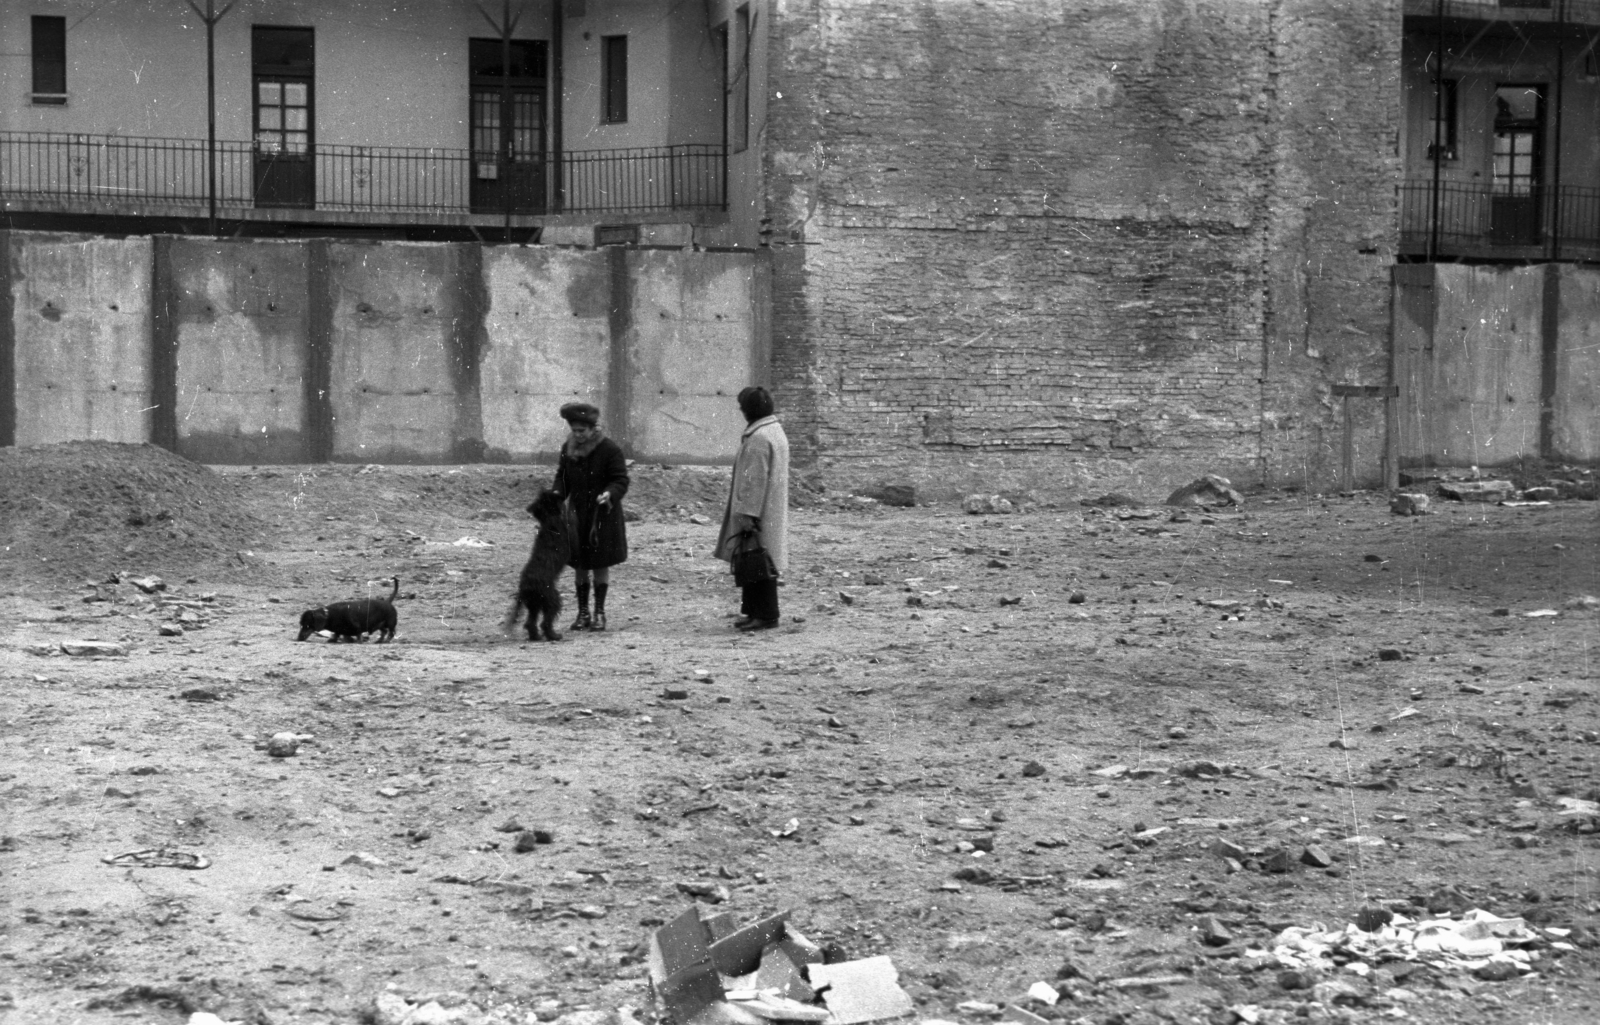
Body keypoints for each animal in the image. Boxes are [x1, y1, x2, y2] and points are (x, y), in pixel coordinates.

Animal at [505, 486, 576, 639]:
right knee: (545, 621)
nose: (560, 493)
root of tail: (523, 588)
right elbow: (571, 516)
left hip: (534, 604)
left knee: (530, 622)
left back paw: (536, 636)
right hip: (551, 598)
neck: (548, 519)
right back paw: (553, 636)